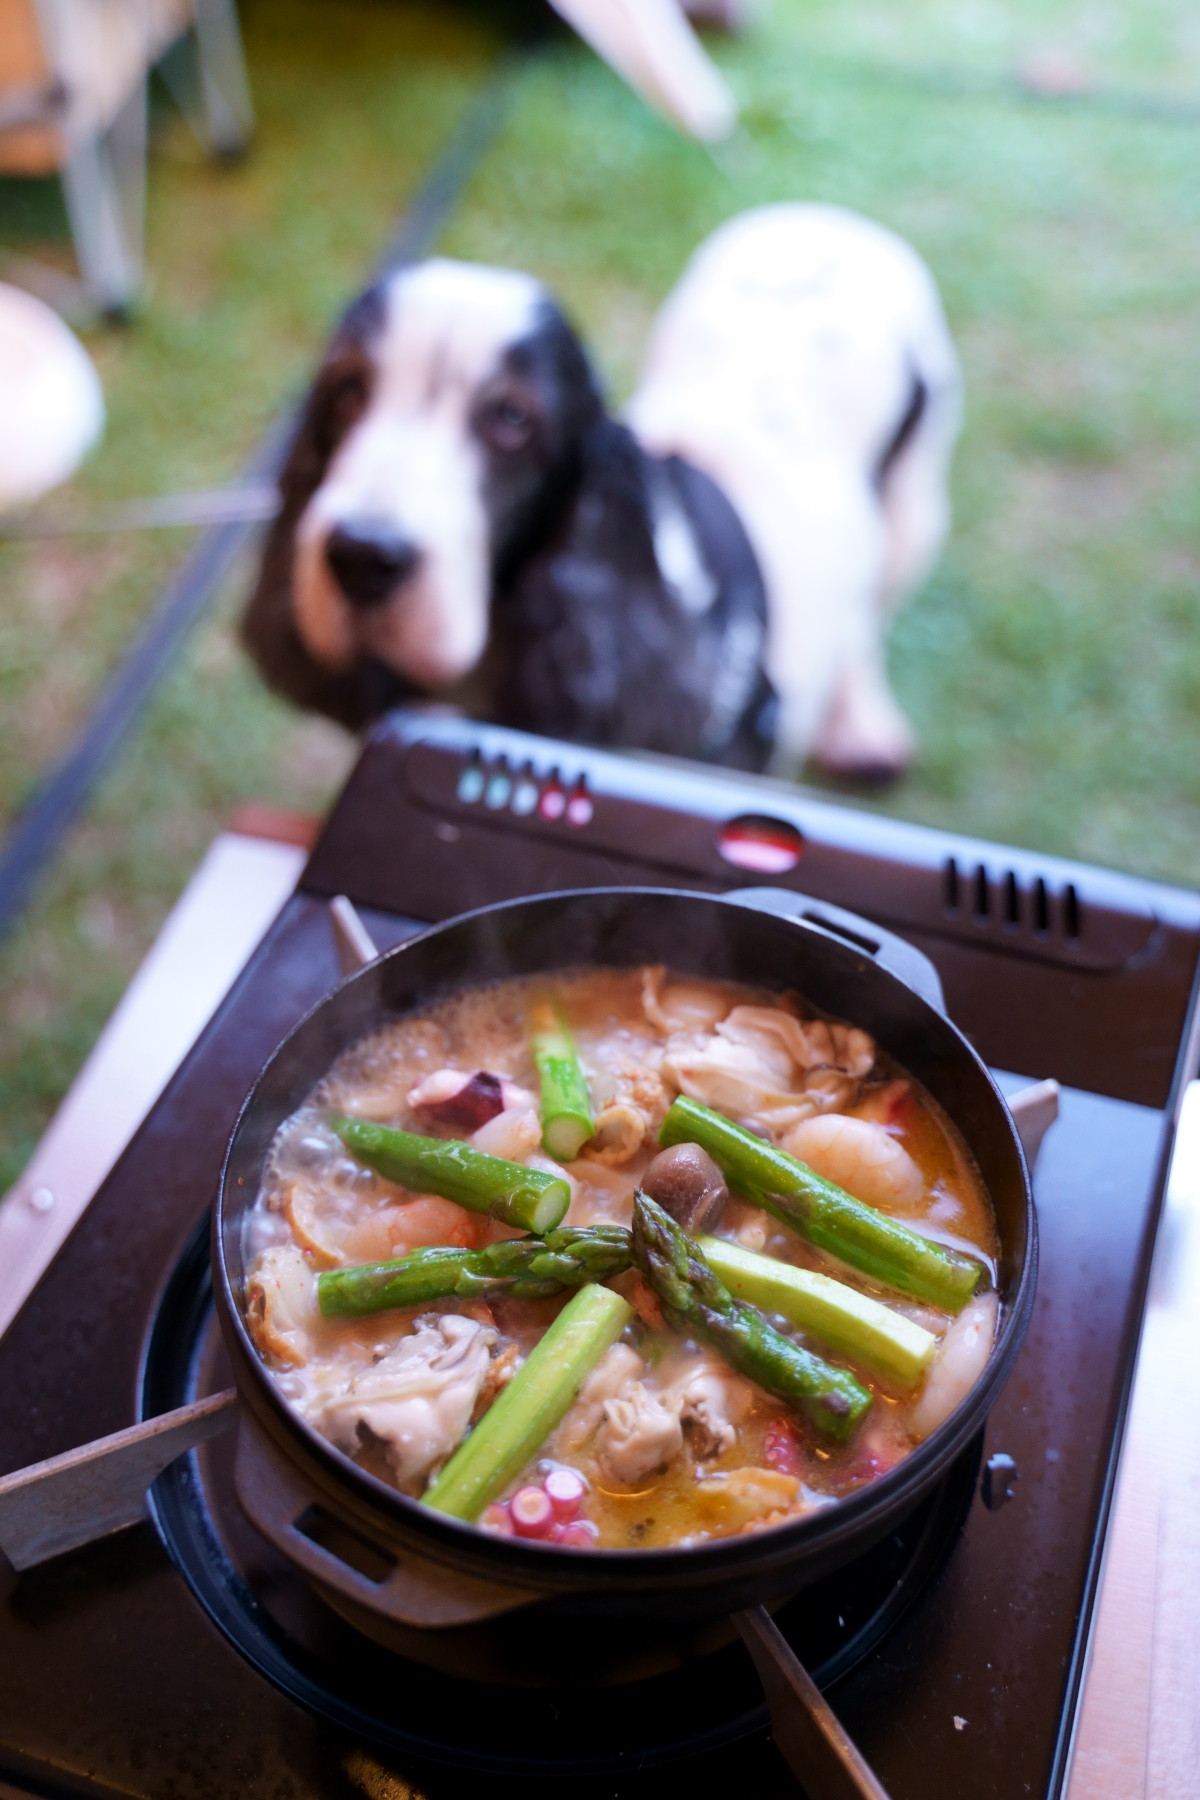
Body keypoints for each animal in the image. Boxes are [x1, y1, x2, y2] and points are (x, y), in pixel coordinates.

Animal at [242, 203, 961, 780]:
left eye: (513, 417)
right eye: (347, 389)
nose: (362, 556)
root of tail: (830, 223)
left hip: (917, 505)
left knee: (873, 614)